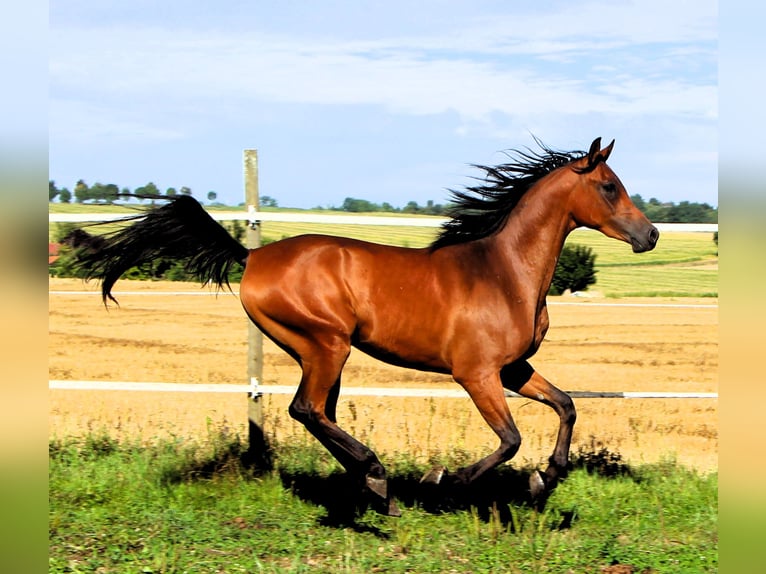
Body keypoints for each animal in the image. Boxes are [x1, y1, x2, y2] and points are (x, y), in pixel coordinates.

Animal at [77, 137, 658, 517]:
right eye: (609, 186)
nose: (649, 234)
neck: (504, 272)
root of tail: (252, 256)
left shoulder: (513, 368)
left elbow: (566, 406)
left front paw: (546, 480)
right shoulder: (475, 373)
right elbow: (510, 438)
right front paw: (443, 482)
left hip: (322, 352)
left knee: (320, 414)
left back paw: (373, 487)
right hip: (326, 344)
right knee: (306, 409)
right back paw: (378, 479)